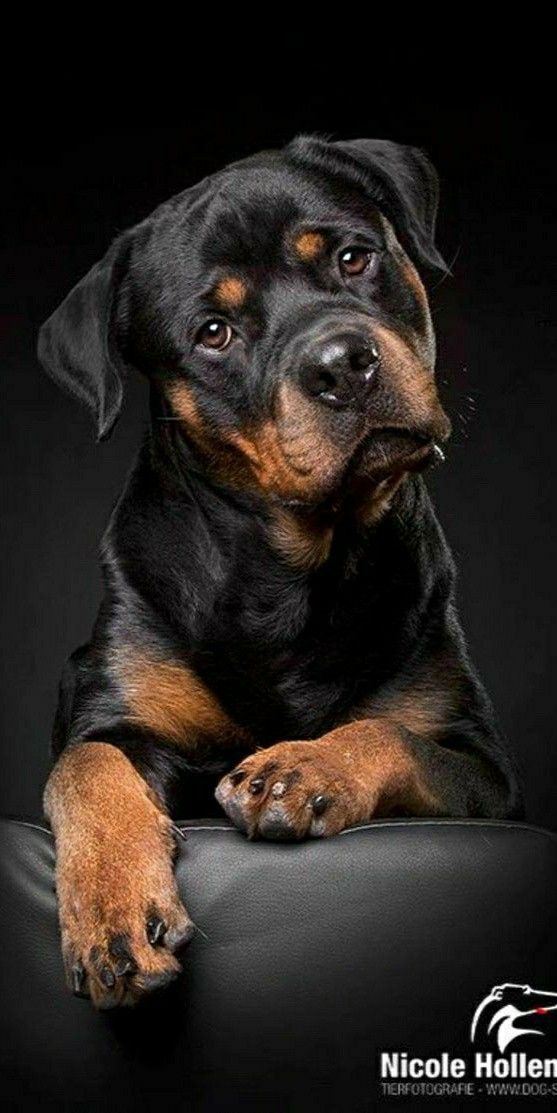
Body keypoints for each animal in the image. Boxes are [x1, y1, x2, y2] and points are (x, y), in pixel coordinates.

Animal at [38, 132, 521, 1010]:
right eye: (213, 331)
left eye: (352, 256)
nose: (342, 363)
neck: (291, 569)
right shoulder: (114, 713)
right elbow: (85, 767)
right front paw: (113, 911)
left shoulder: (484, 766)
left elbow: (394, 732)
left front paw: (303, 766)